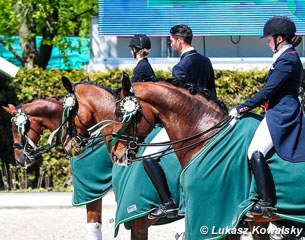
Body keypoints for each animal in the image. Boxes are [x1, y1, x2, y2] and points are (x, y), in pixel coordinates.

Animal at [105, 74, 304, 239]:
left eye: (121, 113)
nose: (116, 153)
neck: (206, 133)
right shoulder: (237, 224)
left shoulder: (213, 217)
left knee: (255, 154)